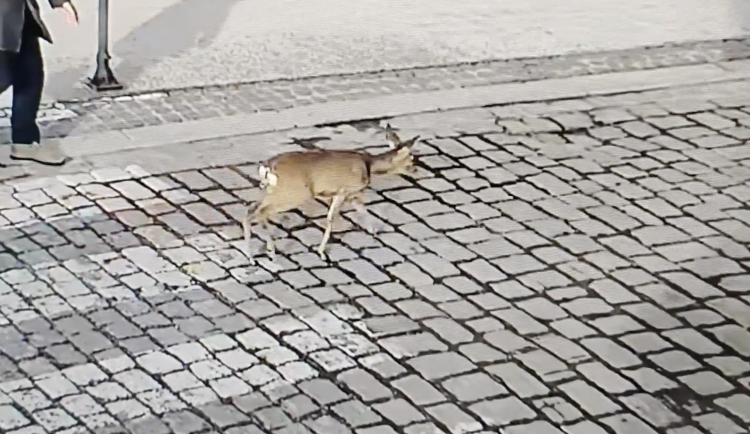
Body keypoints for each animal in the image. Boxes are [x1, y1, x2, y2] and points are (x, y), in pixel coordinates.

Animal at [247, 125, 424, 262]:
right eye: (411, 160)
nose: (416, 171)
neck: (368, 166)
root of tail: (267, 167)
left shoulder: (352, 194)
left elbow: (363, 210)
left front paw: (374, 232)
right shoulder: (343, 190)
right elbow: (331, 218)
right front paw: (321, 252)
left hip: (272, 191)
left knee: (250, 210)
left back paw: (251, 256)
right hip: (293, 193)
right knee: (261, 211)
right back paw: (271, 252)